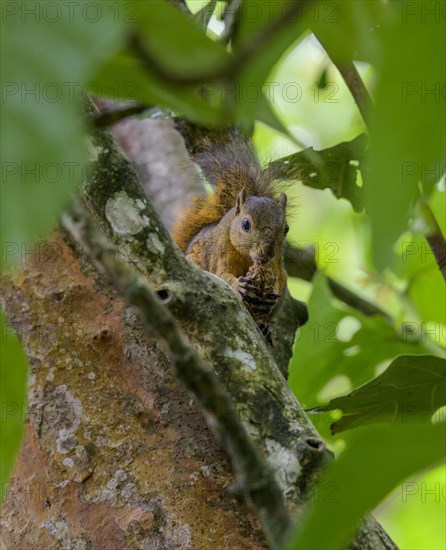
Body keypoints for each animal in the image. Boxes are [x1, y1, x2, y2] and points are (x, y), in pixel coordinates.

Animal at [171, 137, 290, 344]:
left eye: (287, 229)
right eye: (245, 224)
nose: (266, 252)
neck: (247, 257)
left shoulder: (276, 262)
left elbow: (274, 275)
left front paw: (269, 296)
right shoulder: (221, 252)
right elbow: (222, 273)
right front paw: (237, 285)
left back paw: (265, 326)